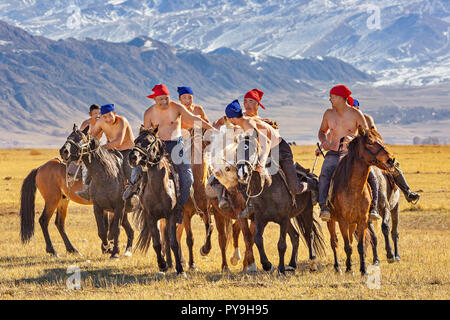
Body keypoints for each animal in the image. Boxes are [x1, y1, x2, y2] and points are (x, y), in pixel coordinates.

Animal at [59, 124, 134, 258]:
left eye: (81, 138)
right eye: (69, 136)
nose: (64, 151)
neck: (106, 175)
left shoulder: (119, 207)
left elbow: (115, 230)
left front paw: (114, 252)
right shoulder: (98, 207)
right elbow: (102, 232)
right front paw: (107, 248)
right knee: (130, 230)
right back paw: (128, 251)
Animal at [326, 126, 396, 276]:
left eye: (380, 140)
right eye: (370, 142)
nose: (391, 160)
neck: (354, 189)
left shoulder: (362, 219)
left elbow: (359, 246)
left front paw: (363, 269)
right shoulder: (342, 221)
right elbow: (347, 246)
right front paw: (349, 268)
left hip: (352, 224)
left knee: (351, 240)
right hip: (331, 221)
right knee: (334, 242)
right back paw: (337, 267)